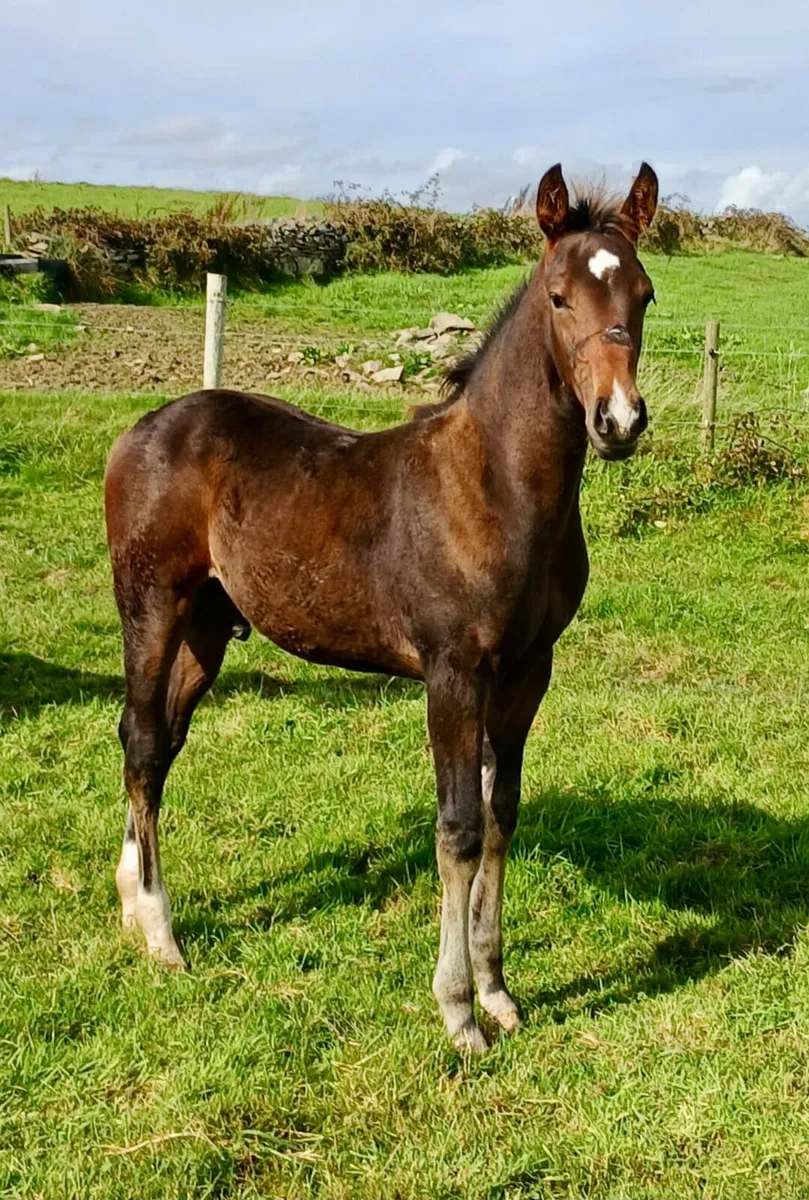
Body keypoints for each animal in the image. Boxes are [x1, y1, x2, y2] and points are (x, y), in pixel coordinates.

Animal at [104, 162, 658, 1052]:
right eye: (558, 296)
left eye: (643, 294)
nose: (618, 420)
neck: (495, 487)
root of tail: (143, 428)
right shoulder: (451, 672)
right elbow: (457, 828)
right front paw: (458, 1011)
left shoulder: (525, 672)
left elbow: (501, 815)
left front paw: (499, 990)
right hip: (150, 606)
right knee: (147, 741)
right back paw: (161, 933)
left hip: (207, 628)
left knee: (152, 744)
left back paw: (132, 905)